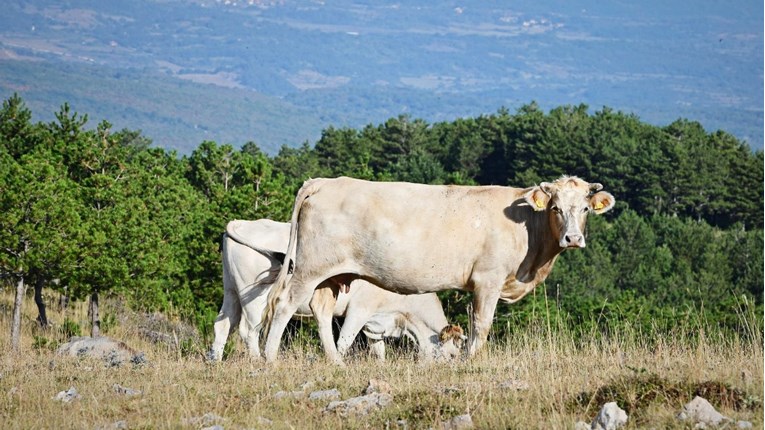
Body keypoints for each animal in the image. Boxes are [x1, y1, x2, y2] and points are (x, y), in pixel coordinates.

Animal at [206, 218, 462, 362]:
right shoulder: (360, 309)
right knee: (248, 330)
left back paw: (215, 362)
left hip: (231, 290)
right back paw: (258, 360)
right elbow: (345, 340)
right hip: (256, 298)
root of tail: (244, 223)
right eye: (451, 355)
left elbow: (378, 350)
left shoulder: (375, 321)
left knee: (223, 324)